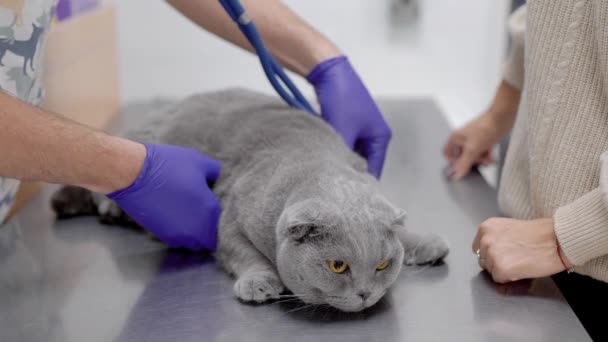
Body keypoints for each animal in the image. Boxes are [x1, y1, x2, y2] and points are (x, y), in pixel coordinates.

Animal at [52, 89, 448, 312]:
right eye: (338, 266)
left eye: (382, 265)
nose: (366, 294)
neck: (314, 158)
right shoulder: (227, 221)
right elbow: (243, 253)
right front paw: (259, 282)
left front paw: (425, 241)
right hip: (130, 149)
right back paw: (106, 208)